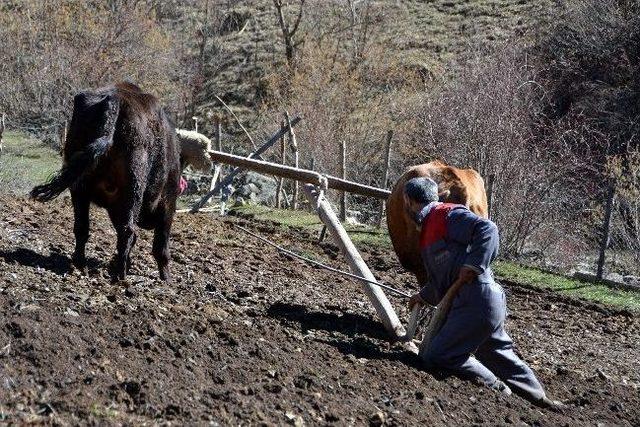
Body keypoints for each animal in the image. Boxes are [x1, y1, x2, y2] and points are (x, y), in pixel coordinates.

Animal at [30, 83, 180, 284]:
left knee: (82, 227)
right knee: (127, 231)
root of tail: (115, 98)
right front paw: (166, 278)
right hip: (133, 188)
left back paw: (80, 265)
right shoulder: (168, 203)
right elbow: (161, 245)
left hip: (79, 187)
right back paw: (120, 276)